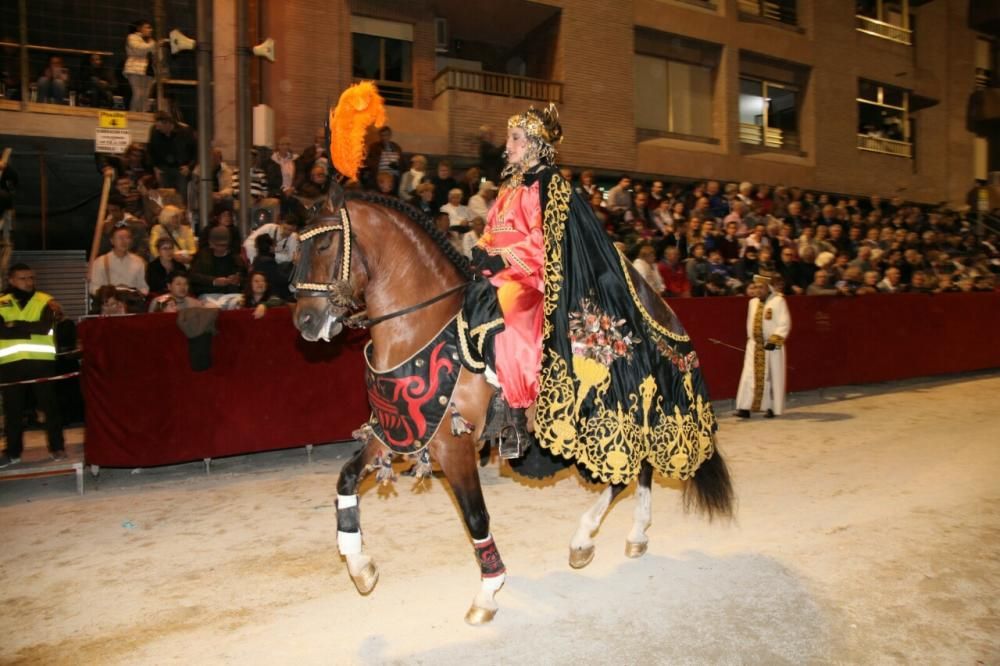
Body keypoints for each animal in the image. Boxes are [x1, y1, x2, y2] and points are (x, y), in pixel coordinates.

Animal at [292, 188, 732, 624]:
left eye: (325, 244)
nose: (305, 321)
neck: (421, 325)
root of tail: (655, 304)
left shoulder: (454, 444)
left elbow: (476, 517)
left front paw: (487, 593)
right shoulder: (397, 429)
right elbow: (346, 480)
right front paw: (359, 565)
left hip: (608, 415)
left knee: (624, 471)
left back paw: (586, 539)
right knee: (637, 469)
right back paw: (629, 536)